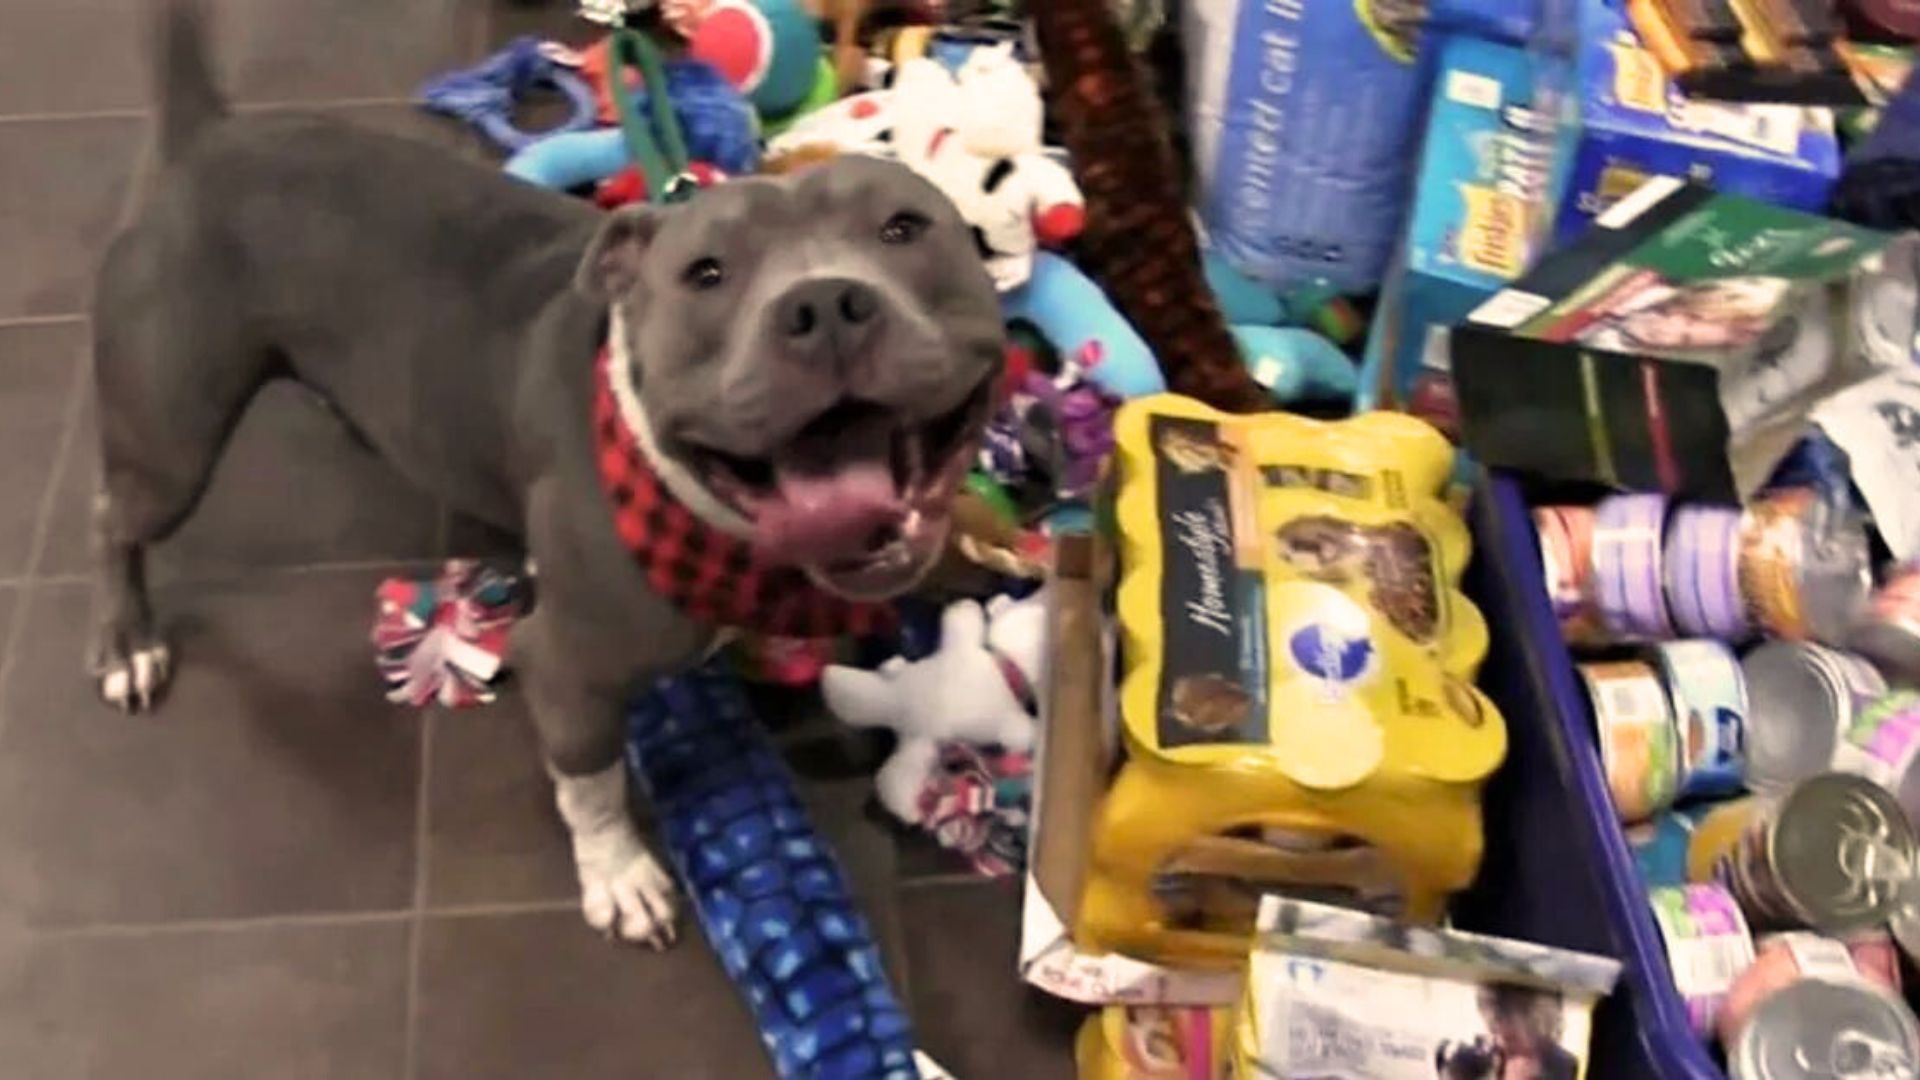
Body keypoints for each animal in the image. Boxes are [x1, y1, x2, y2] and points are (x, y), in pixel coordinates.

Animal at [93, 2, 1006, 941]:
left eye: (904, 228)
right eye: (705, 274)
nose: (823, 305)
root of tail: (210, 140)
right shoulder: (567, 665)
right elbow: (590, 784)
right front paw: (619, 874)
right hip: (171, 446)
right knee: (113, 516)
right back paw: (129, 644)